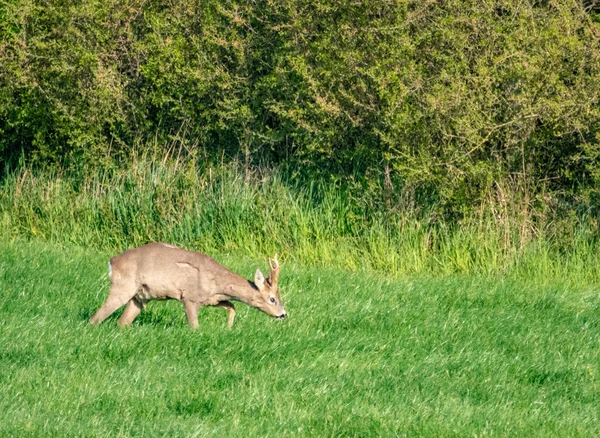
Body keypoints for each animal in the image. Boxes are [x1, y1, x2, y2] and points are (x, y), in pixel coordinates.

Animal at [89, 243, 286, 328]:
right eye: (272, 299)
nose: (283, 314)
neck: (217, 281)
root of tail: (112, 262)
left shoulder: (211, 299)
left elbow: (232, 306)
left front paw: (229, 328)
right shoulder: (190, 297)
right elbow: (194, 325)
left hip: (141, 296)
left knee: (122, 322)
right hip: (123, 287)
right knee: (96, 318)